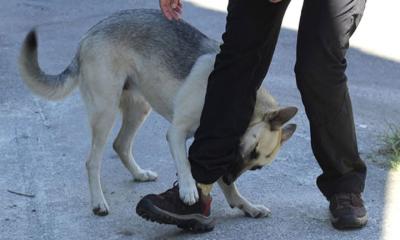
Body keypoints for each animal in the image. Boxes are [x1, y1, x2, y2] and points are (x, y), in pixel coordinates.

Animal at [18, 9, 296, 218]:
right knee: (92, 162)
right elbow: (186, 163)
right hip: (105, 112)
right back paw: (98, 202)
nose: (228, 175)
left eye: (257, 166)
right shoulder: (177, 133)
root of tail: (89, 33)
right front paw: (187, 190)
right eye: (251, 150)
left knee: (120, 144)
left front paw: (246, 206)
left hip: (139, 109)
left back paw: (139, 174)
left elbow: (226, 186)